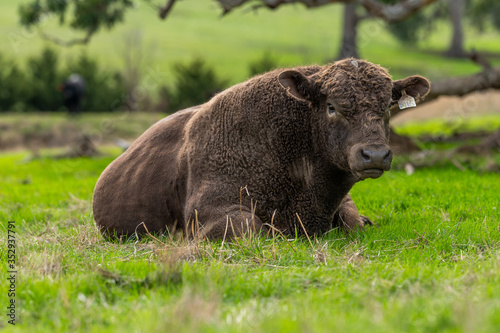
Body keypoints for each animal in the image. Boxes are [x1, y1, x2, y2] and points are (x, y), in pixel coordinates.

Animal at [94, 57, 430, 239]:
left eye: (387, 106)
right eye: (332, 106)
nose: (375, 154)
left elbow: (352, 222)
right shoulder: (210, 212)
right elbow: (256, 229)